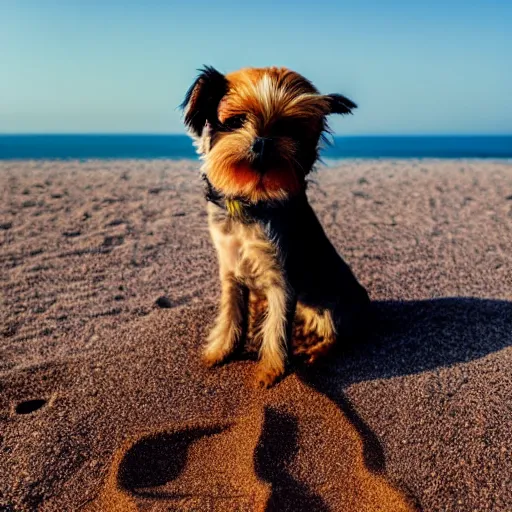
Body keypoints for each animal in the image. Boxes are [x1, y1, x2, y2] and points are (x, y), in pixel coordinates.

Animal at [182, 68, 370, 388]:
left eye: (288, 128)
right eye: (235, 121)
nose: (262, 142)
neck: (250, 199)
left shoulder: (283, 275)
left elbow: (277, 325)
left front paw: (271, 369)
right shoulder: (230, 269)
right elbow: (232, 313)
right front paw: (223, 350)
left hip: (337, 303)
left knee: (337, 333)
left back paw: (316, 350)